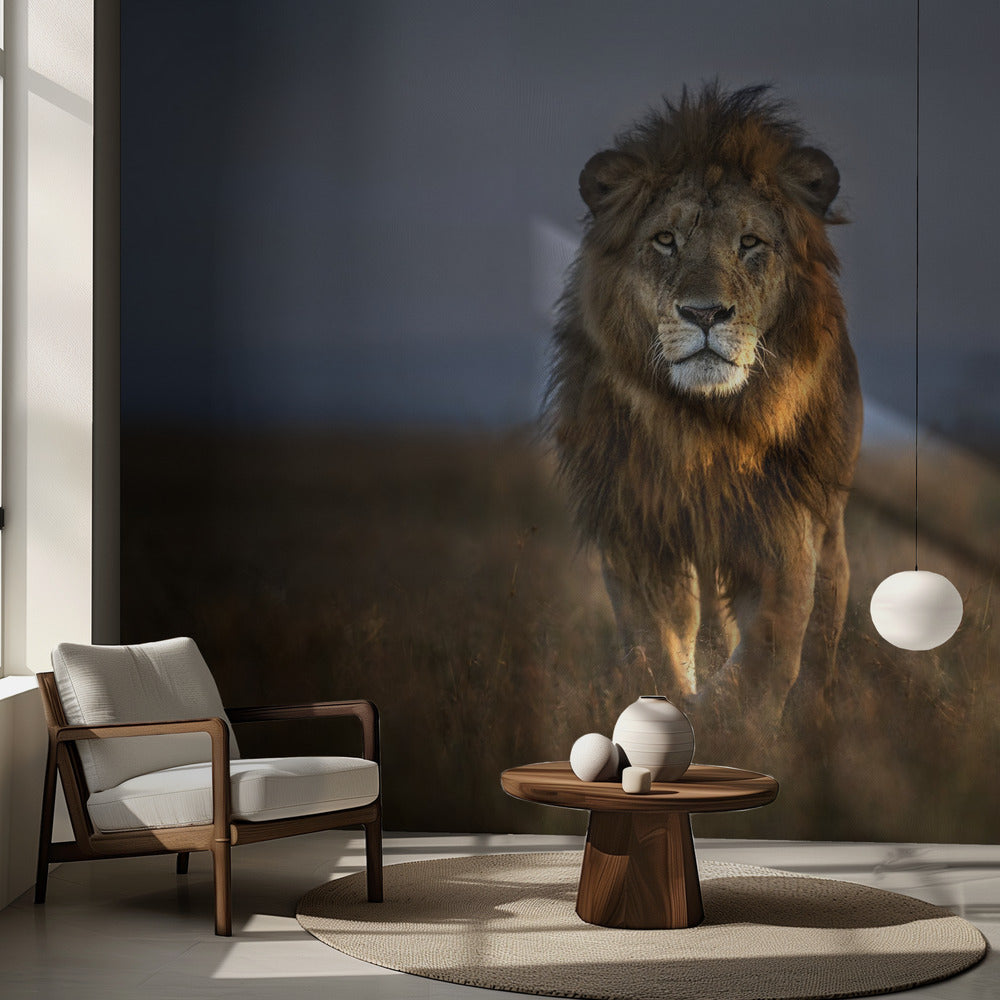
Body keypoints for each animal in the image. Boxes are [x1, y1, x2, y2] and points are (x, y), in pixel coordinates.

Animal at [545, 84, 863, 727]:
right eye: (666, 240)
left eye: (750, 243)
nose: (705, 313)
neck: (702, 428)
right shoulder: (638, 530)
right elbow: (656, 646)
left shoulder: (783, 529)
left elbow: (767, 655)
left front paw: (731, 724)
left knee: (826, 617)